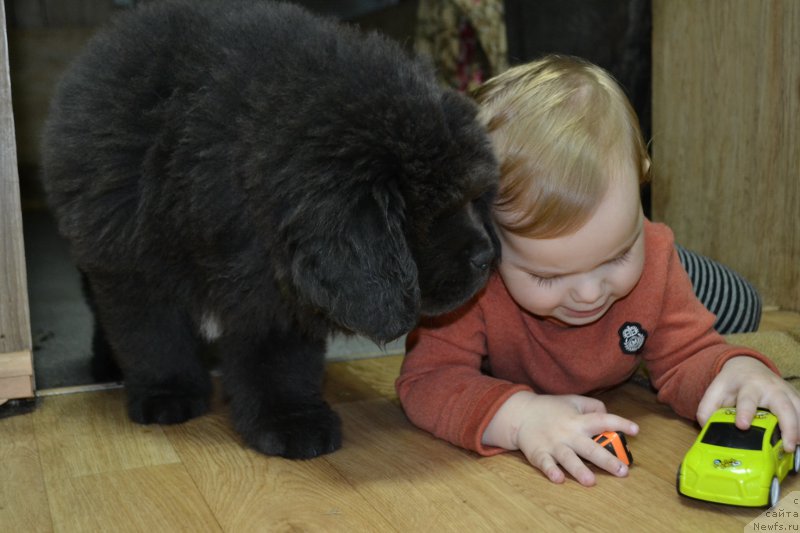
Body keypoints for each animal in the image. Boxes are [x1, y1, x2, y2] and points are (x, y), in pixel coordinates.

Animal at [42, 0, 500, 458]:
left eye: (475, 198)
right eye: (433, 213)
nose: (488, 256)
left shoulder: (277, 291)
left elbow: (279, 362)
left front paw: (291, 420)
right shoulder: (137, 266)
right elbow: (154, 338)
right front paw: (167, 394)